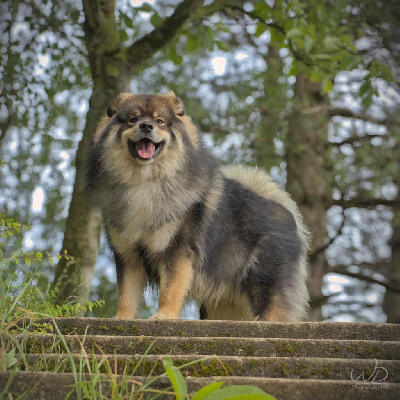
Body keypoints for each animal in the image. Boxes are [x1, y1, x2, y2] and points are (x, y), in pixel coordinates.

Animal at [85, 91, 310, 322]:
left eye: (160, 121)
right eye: (132, 119)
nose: (146, 126)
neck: (145, 183)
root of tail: (286, 212)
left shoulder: (177, 250)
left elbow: (170, 289)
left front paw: (163, 316)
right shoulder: (128, 256)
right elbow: (126, 295)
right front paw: (122, 318)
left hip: (264, 288)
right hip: (222, 305)